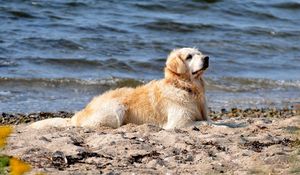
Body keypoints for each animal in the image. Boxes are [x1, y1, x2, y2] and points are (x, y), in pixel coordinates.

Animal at [29, 47, 209, 129]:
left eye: (199, 53)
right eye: (189, 56)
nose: (207, 58)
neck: (186, 88)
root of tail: (77, 116)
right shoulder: (179, 122)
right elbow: (206, 123)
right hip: (116, 109)